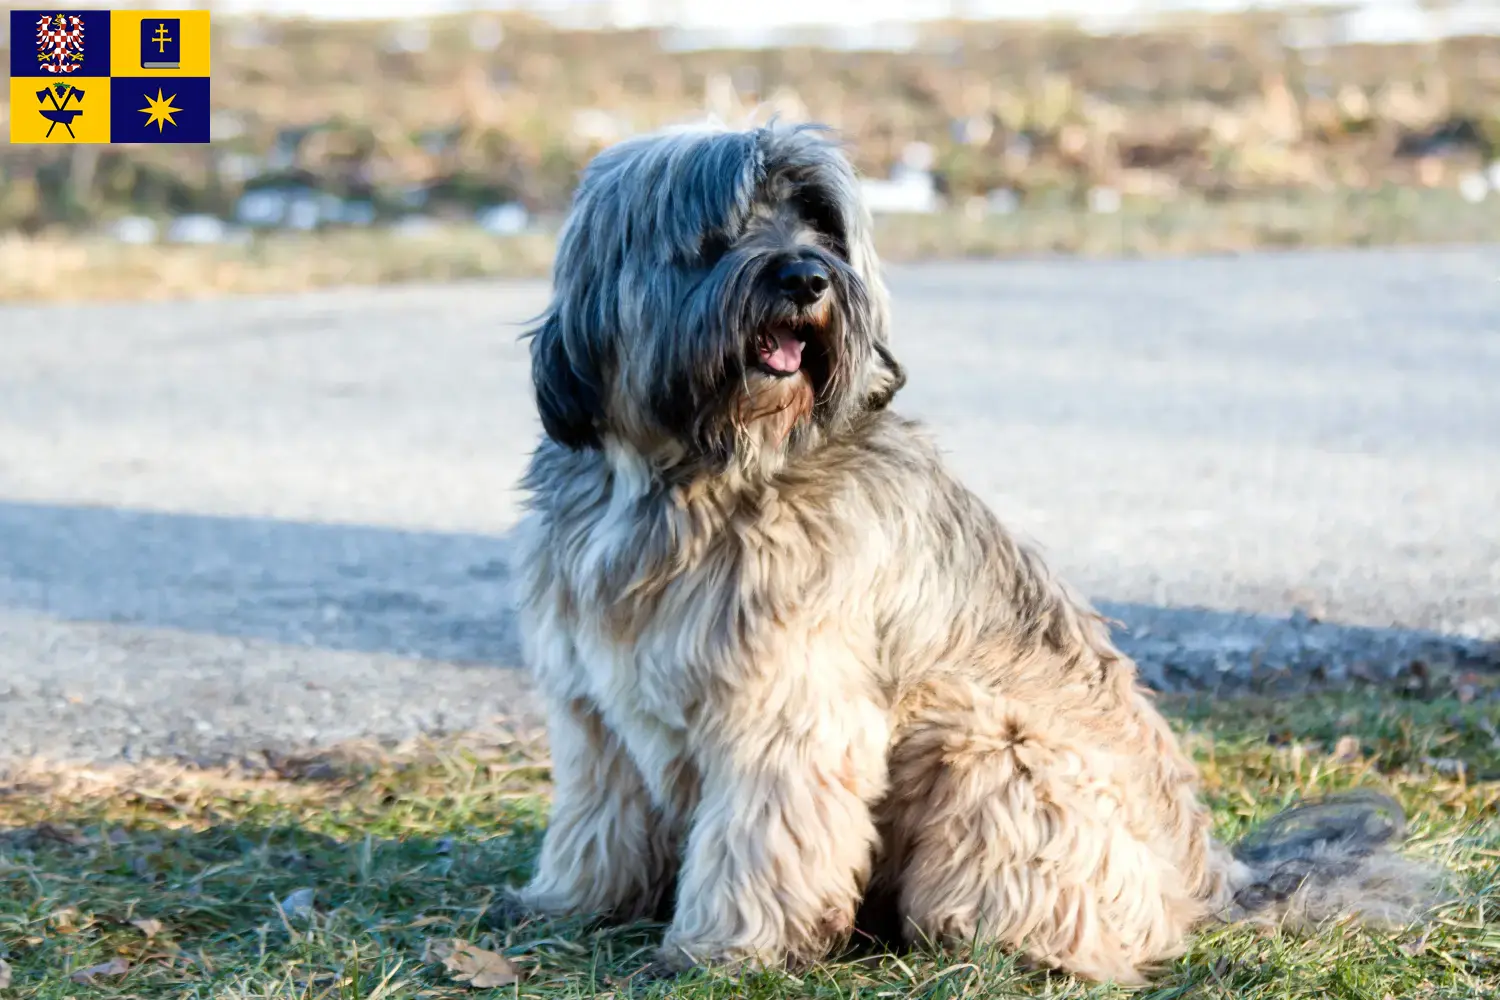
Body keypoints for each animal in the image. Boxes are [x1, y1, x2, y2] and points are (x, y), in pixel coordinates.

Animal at [507, 121, 1440, 983]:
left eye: (821, 224)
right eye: (720, 229)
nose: (808, 279)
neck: (690, 476)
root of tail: (1207, 879)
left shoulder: (791, 717)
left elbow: (761, 840)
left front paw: (727, 950)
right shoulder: (595, 713)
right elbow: (597, 815)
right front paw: (572, 903)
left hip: (992, 741)